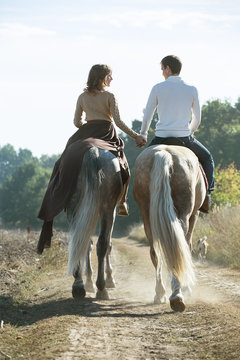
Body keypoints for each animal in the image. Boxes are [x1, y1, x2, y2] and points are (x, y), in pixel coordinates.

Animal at [67, 146, 124, 300]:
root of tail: (94, 153)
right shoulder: (112, 210)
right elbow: (108, 244)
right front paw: (110, 279)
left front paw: (88, 282)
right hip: (107, 207)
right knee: (102, 243)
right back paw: (101, 288)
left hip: (75, 207)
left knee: (80, 241)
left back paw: (79, 285)